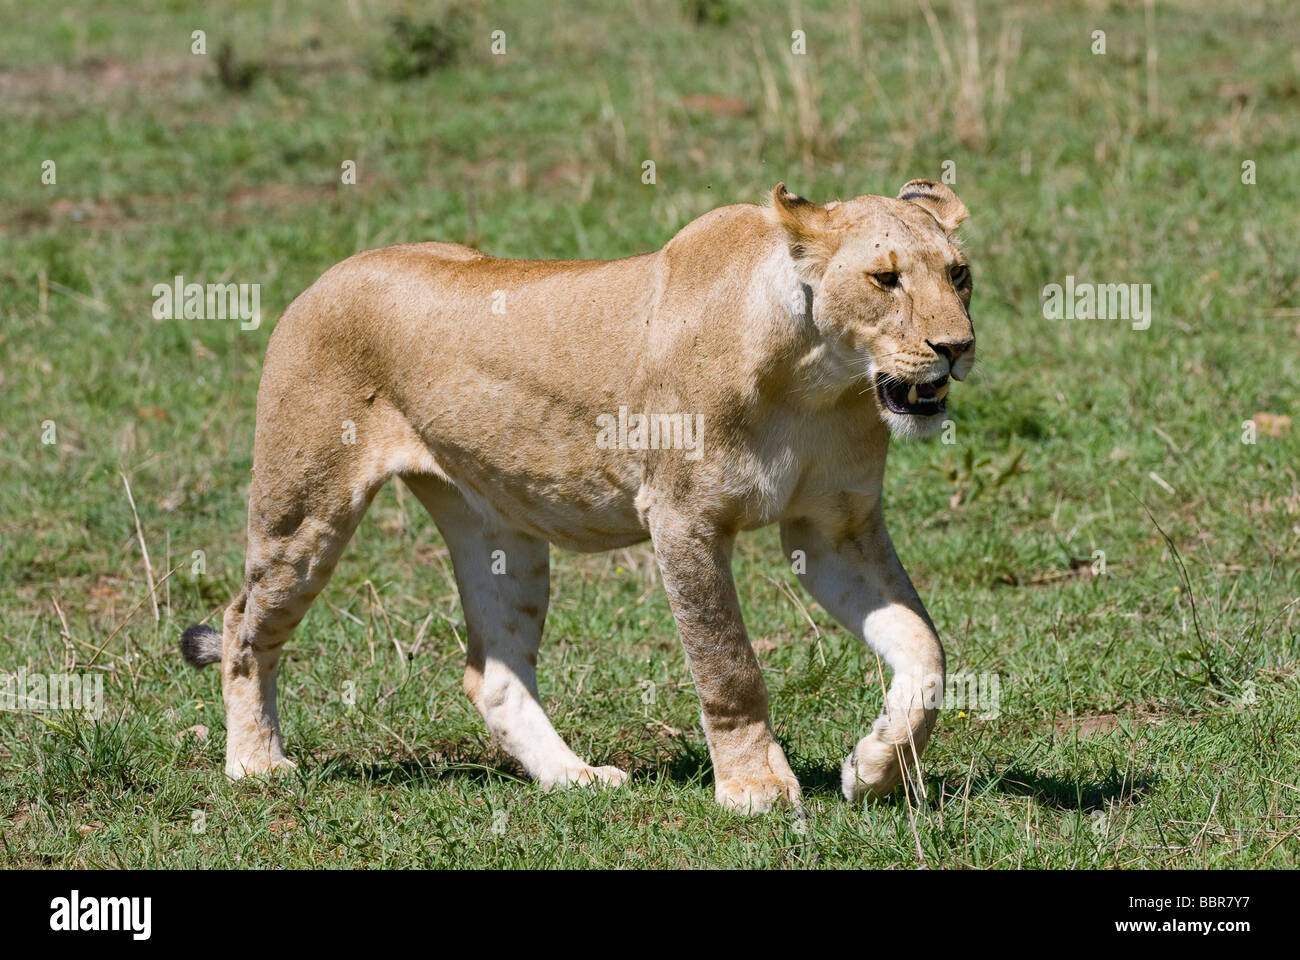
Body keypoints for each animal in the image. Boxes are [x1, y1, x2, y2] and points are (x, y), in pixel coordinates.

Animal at [180, 179, 975, 813]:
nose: (957, 347)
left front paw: (874, 769)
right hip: (305, 507)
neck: (820, 379)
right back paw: (257, 764)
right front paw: (754, 787)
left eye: (960, 274)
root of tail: (325, 278)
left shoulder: (833, 529)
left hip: (498, 531)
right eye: (885, 279)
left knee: (492, 674)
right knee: (244, 625)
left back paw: (575, 777)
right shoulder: (683, 518)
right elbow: (728, 665)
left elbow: (926, 650)